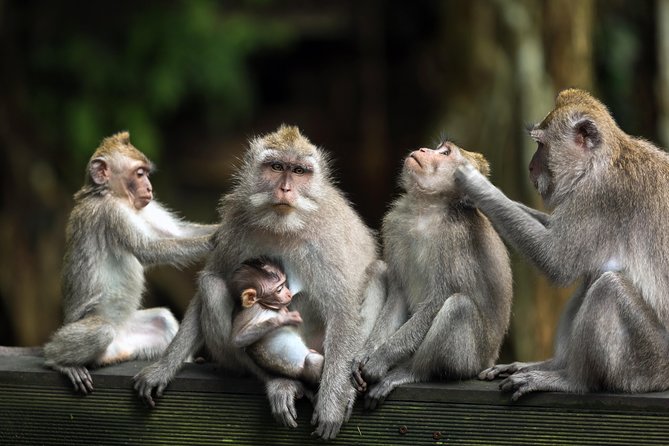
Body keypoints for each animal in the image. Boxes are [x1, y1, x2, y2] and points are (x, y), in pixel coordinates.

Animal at [43, 131, 217, 394]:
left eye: (145, 172)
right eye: (139, 173)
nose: (149, 187)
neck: (108, 194)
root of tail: (116, 349)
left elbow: (176, 233)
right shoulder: (111, 213)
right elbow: (148, 250)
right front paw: (216, 239)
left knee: (162, 319)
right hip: (79, 331)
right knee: (97, 332)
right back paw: (60, 362)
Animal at [230, 256, 324, 385]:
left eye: (285, 284)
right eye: (279, 289)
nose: (289, 294)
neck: (264, 306)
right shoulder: (250, 311)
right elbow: (238, 339)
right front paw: (283, 318)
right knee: (312, 360)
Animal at [351, 142, 512, 409]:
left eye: (445, 153)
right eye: (439, 148)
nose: (423, 149)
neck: (426, 210)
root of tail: (489, 360)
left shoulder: (454, 239)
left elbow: (438, 300)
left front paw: (379, 360)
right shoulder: (395, 224)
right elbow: (399, 294)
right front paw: (366, 354)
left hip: (470, 360)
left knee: (458, 305)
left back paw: (411, 372)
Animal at [454, 88, 669, 400]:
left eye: (541, 145)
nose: (531, 166)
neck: (602, 160)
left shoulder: (600, 196)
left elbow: (556, 261)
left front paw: (474, 184)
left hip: (649, 363)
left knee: (607, 287)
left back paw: (574, 380)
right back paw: (554, 365)